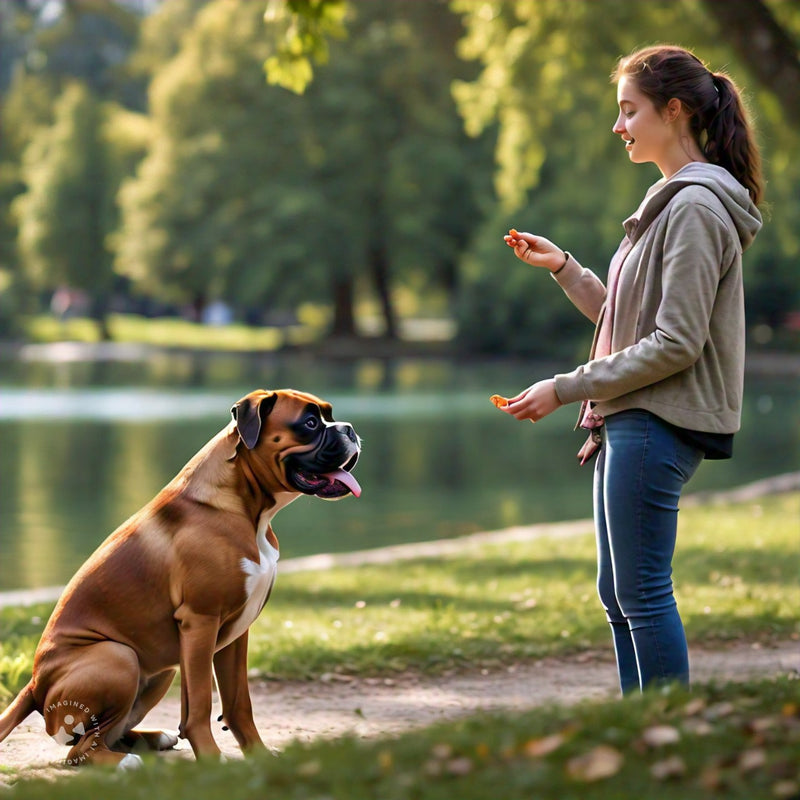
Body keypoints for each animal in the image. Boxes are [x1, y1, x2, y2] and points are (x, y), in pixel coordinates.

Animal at [0, 390, 362, 768]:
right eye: (310, 423)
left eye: (329, 415)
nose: (349, 429)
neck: (248, 508)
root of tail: (34, 685)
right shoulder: (200, 622)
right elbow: (200, 703)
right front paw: (213, 760)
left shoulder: (235, 635)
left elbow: (238, 703)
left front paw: (259, 755)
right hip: (120, 657)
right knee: (79, 749)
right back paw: (126, 761)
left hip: (159, 671)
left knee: (104, 735)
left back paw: (152, 739)